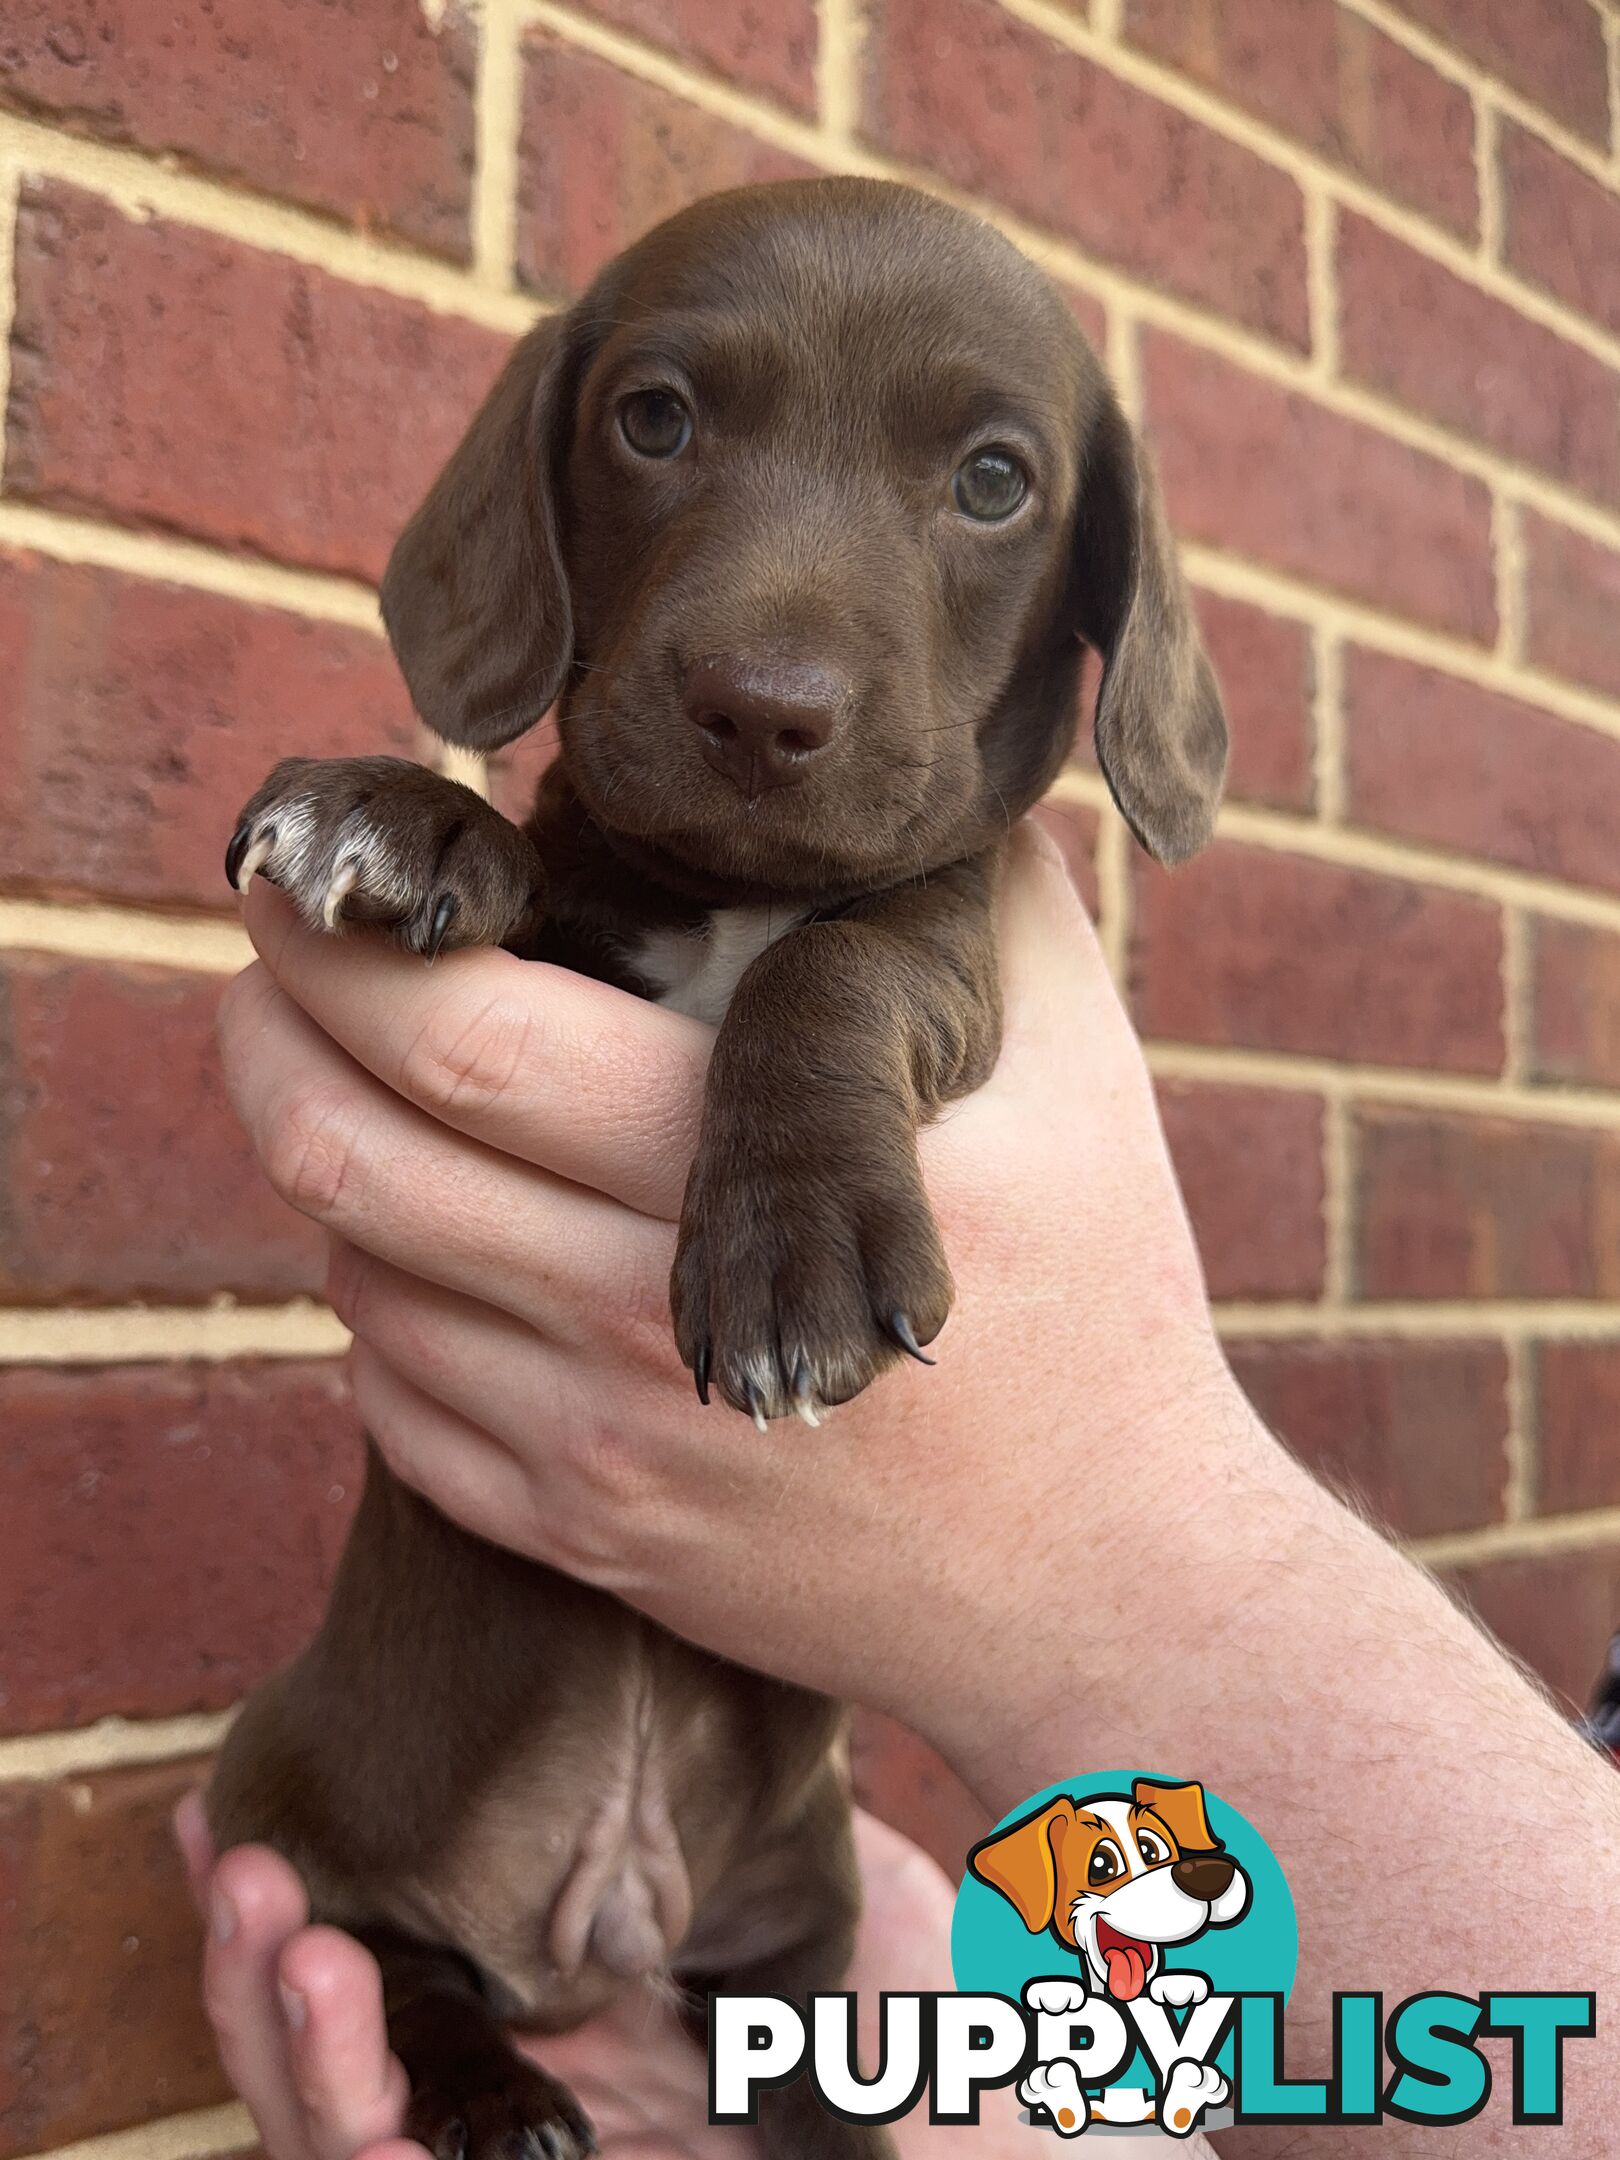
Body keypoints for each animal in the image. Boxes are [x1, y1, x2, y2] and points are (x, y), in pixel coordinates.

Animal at [212, 181, 1226, 2160]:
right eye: (655, 420)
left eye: (996, 480)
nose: (762, 710)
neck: (732, 894)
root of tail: (586, 1928)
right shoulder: (589, 914)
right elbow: (535, 864)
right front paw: (408, 810)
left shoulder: (944, 926)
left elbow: (835, 968)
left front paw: (790, 1247)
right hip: (283, 1791)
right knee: (382, 1950)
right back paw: (491, 2084)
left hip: (790, 1900)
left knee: (794, 2027)